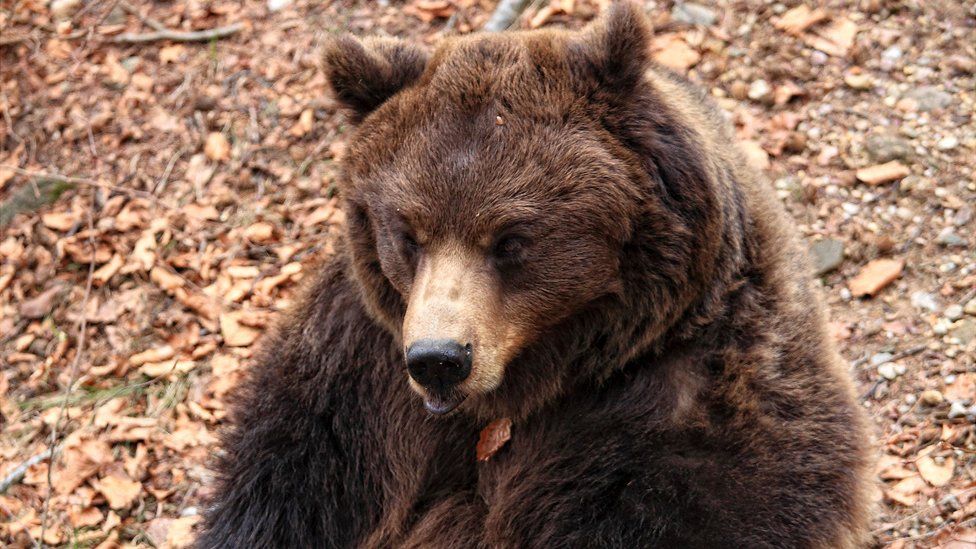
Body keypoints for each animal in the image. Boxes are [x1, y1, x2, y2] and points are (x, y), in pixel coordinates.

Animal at [200, 5, 876, 548]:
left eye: (511, 239)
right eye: (408, 233)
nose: (439, 359)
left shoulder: (690, 418)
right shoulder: (352, 378)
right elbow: (283, 491)